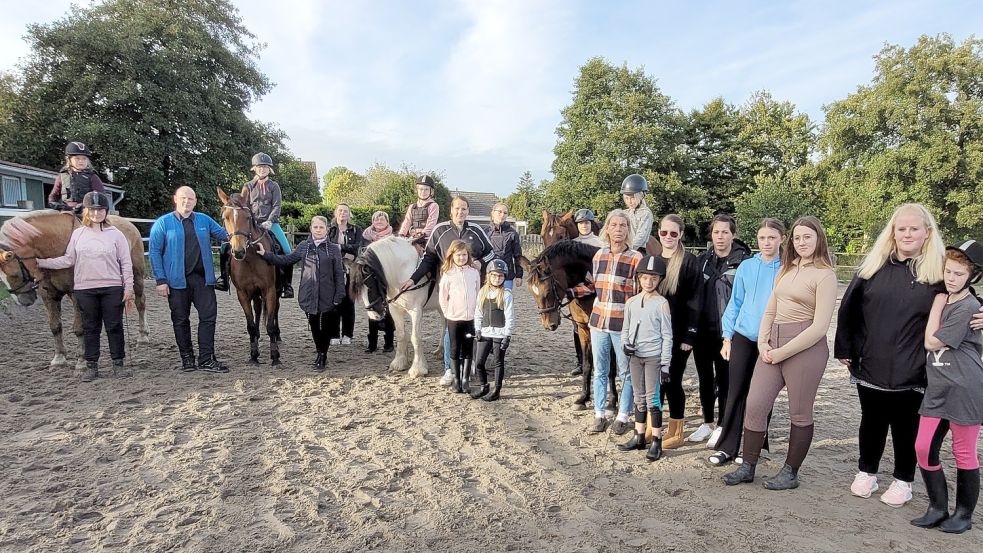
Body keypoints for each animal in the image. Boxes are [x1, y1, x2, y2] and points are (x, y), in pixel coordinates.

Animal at [0, 209, 150, 368]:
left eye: (14, 274)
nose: (24, 300)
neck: (57, 245)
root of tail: (129, 224)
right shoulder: (49, 295)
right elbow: (55, 326)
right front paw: (59, 358)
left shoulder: (77, 295)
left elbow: (79, 327)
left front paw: (82, 360)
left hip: (136, 276)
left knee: (140, 303)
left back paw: (143, 336)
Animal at [214, 188, 276, 364]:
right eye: (225, 217)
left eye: (248, 217)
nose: (239, 251)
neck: (250, 259)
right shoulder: (243, 293)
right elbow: (250, 326)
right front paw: (254, 354)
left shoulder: (270, 290)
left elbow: (270, 324)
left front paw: (275, 356)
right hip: (255, 293)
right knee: (257, 310)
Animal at [346, 235, 438, 378]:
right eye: (359, 290)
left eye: (370, 285)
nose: (373, 315)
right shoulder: (395, 310)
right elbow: (401, 335)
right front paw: (399, 363)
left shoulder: (416, 311)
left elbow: (415, 337)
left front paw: (418, 368)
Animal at [516, 240, 616, 410]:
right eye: (532, 292)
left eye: (548, 290)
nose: (549, 325)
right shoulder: (583, 329)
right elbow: (587, 364)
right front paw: (583, 398)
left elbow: (611, 367)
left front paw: (613, 401)